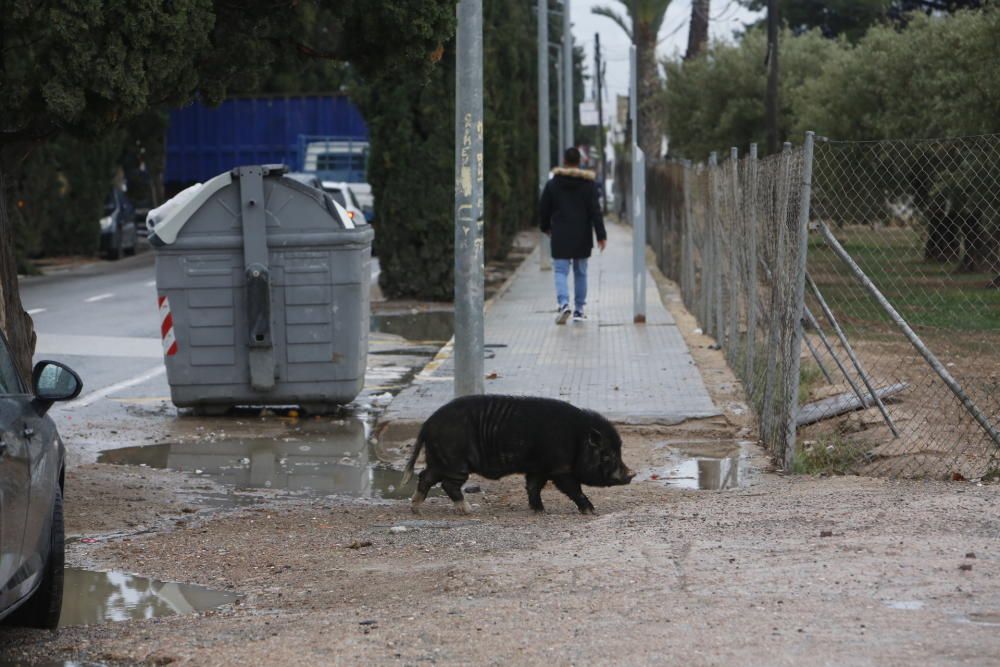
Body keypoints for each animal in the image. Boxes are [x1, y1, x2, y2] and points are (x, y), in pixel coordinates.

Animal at [400, 396, 628, 516]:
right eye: (607, 454)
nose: (631, 474)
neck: (577, 439)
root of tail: (427, 424)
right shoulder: (559, 468)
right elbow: (573, 488)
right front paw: (591, 511)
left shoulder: (538, 468)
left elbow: (533, 486)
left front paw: (539, 510)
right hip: (454, 461)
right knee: (448, 484)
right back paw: (468, 510)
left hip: (438, 459)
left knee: (425, 476)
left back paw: (416, 508)